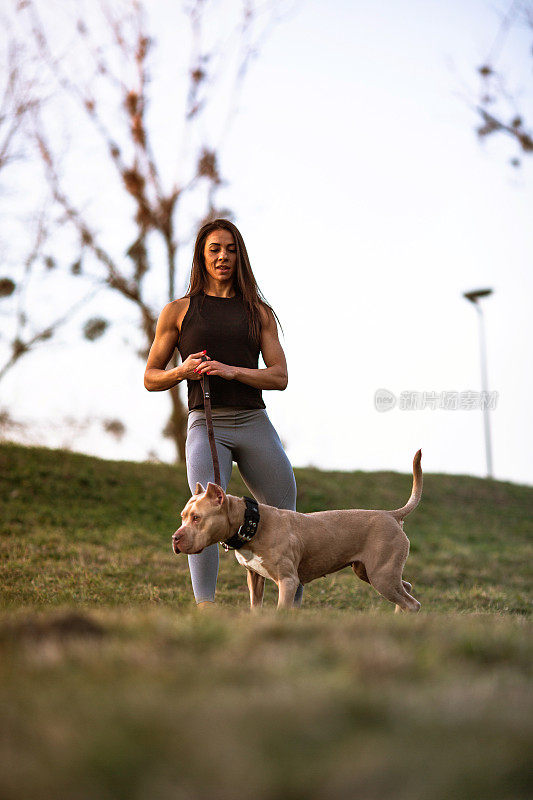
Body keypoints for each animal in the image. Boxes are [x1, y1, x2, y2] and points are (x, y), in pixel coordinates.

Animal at [172, 450, 422, 612]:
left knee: (412, 603)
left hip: (381, 575)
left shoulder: (288, 581)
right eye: (182, 516)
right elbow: (255, 608)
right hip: (370, 572)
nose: (175, 538)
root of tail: (392, 514)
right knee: (407, 590)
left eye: (196, 518)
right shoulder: (254, 578)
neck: (252, 523)